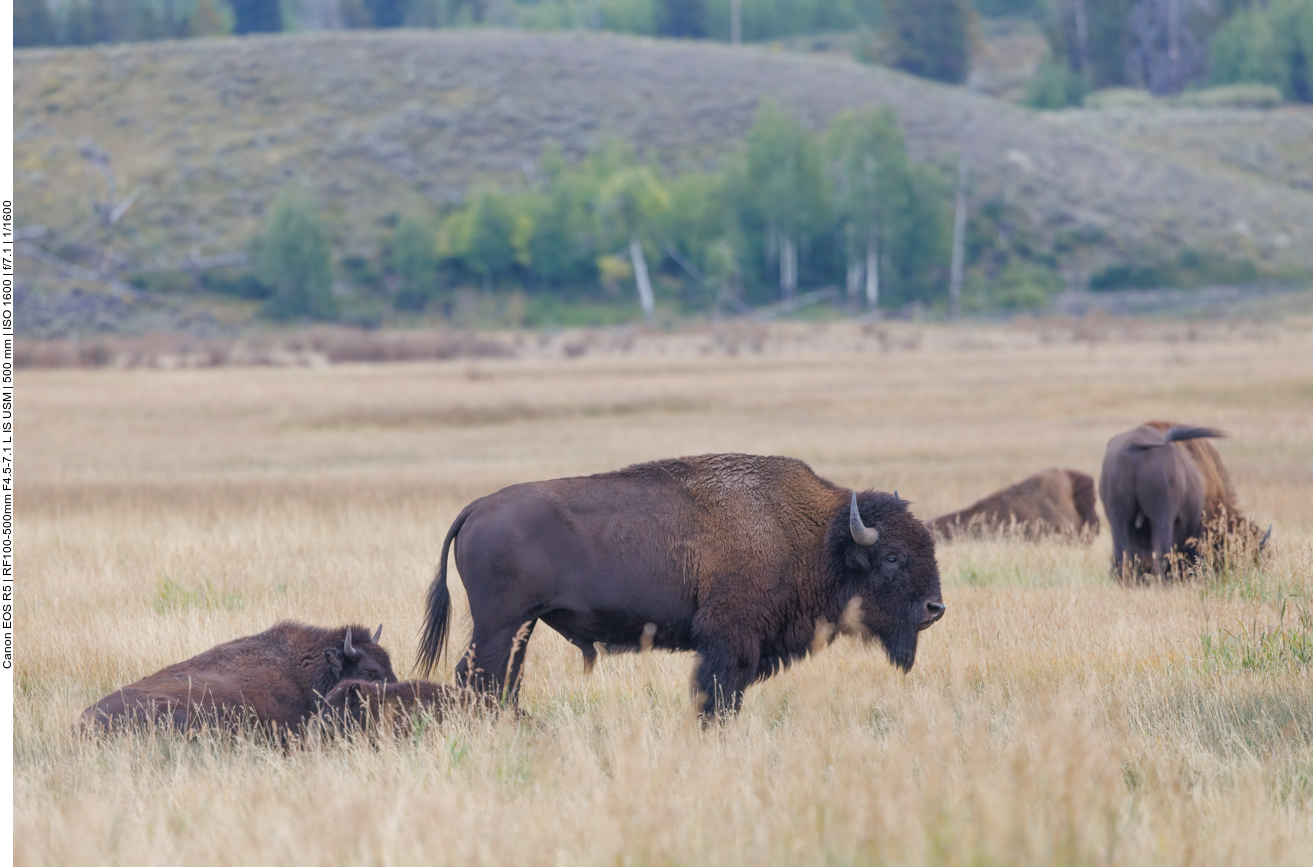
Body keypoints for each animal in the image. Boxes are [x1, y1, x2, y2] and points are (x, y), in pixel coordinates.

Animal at [420, 454, 945, 719]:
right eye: (892, 557)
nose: (934, 608)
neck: (815, 534)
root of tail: (477, 508)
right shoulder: (729, 640)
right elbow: (718, 693)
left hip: (520, 626)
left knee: (502, 678)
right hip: (499, 625)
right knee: (477, 676)